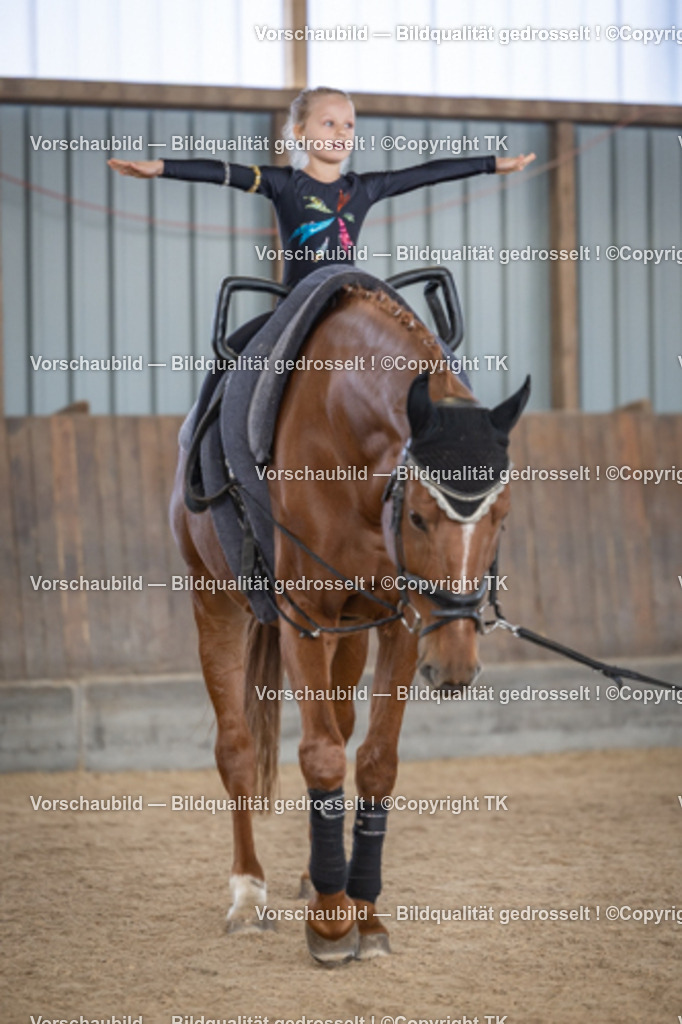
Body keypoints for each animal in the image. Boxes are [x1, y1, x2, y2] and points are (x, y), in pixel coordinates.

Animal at [169, 282, 530, 965]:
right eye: (417, 517)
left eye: (502, 517)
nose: (455, 666)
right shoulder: (305, 617)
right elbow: (320, 757)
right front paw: (333, 925)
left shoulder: (400, 623)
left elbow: (375, 761)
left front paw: (364, 911)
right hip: (213, 601)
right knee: (236, 749)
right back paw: (248, 895)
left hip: (351, 633)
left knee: (339, 720)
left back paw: (316, 874)